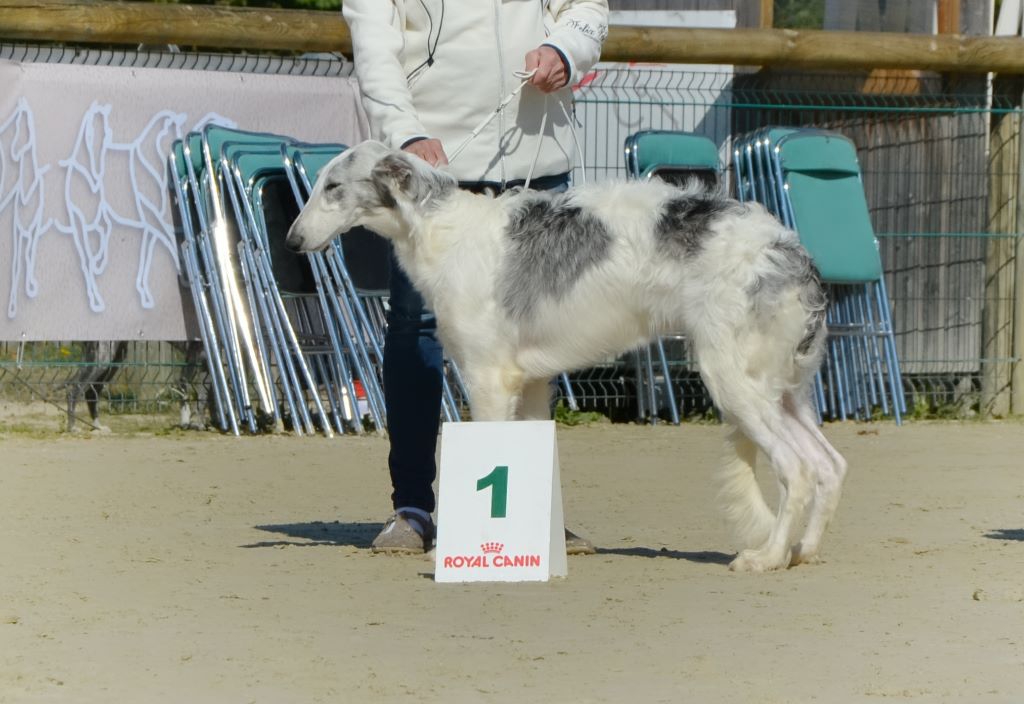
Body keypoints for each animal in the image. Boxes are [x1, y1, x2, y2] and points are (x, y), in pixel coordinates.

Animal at [286, 139, 847, 573]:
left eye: (333, 186)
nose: (291, 240)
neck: (443, 230)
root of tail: (792, 253)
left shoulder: (489, 379)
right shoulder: (533, 381)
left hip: (733, 378)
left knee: (797, 469)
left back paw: (767, 557)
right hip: (784, 389)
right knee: (830, 464)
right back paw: (805, 550)